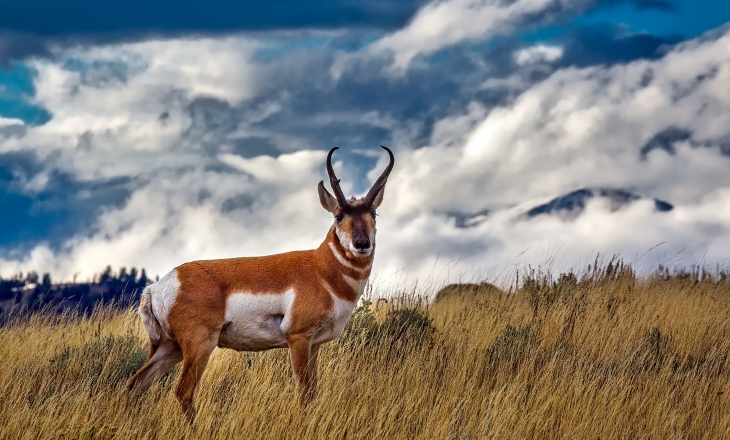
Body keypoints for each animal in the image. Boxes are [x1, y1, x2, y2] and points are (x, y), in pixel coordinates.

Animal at [126, 145, 394, 420]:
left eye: (373, 213)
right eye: (339, 215)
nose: (362, 244)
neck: (320, 269)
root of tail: (157, 287)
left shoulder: (315, 344)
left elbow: (313, 391)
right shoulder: (298, 338)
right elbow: (304, 392)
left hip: (170, 348)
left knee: (136, 383)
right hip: (199, 345)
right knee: (182, 391)